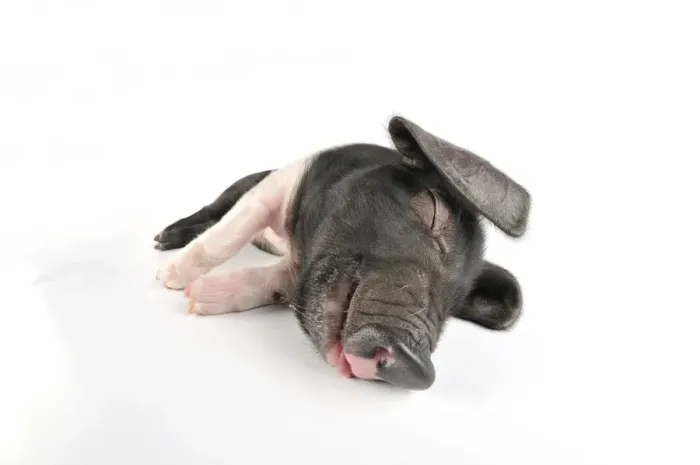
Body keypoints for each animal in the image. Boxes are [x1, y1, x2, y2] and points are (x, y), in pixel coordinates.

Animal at [153, 116, 531, 390]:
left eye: (458, 301)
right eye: (434, 210)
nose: (418, 369)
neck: (298, 239)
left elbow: (273, 282)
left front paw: (197, 299)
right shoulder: (279, 186)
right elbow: (230, 232)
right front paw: (169, 280)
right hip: (250, 180)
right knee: (219, 208)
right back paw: (164, 239)